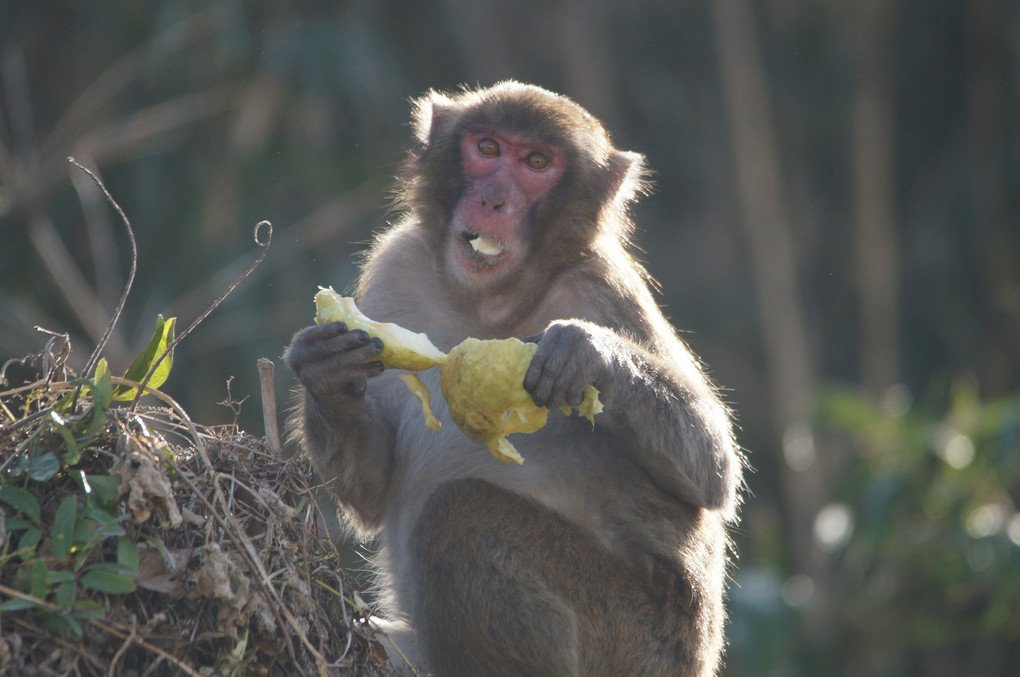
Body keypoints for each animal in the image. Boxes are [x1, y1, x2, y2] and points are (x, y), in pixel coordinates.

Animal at [287, 82, 742, 672]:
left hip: (634, 638)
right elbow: (373, 490)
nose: (492, 201)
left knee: (459, 516)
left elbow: (711, 475)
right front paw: (327, 374)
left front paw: (586, 353)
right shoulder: (396, 267)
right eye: (487, 148)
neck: (490, 304)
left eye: (536, 163)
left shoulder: (601, 289)